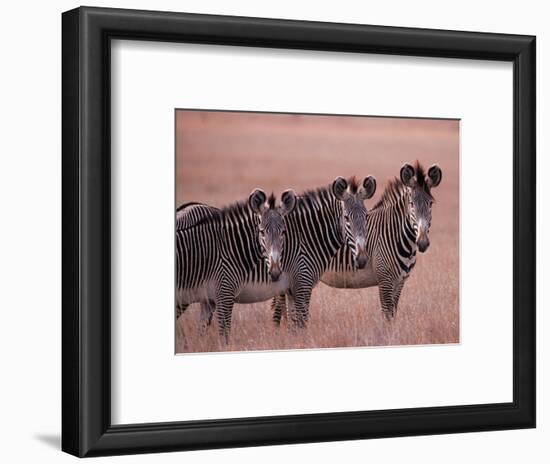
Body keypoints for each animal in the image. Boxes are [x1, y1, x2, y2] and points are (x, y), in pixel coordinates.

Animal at [179, 176, 378, 338]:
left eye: (366, 217)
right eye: (346, 218)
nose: (362, 260)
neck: (307, 236)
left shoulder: (291, 289)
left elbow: (293, 327)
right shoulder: (302, 284)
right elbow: (301, 325)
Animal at [272, 162, 444, 322]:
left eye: (431, 204)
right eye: (411, 204)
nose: (422, 243)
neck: (395, 235)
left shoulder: (400, 281)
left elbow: (393, 313)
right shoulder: (385, 280)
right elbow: (387, 315)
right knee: (278, 307)